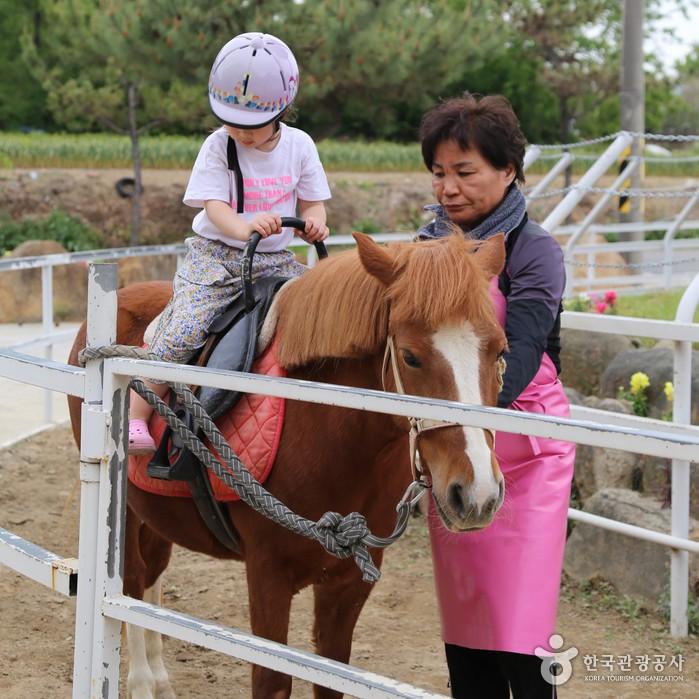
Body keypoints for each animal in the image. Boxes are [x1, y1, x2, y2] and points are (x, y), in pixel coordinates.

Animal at [68, 232, 508, 696]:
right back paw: (142, 682)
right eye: (410, 357)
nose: (477, 494)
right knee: (130, 580)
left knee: (150, 576)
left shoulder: (346, 584)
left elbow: (331, 677)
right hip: (123, 508)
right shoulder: (267, 576)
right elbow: (272, 681)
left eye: (499, 351)